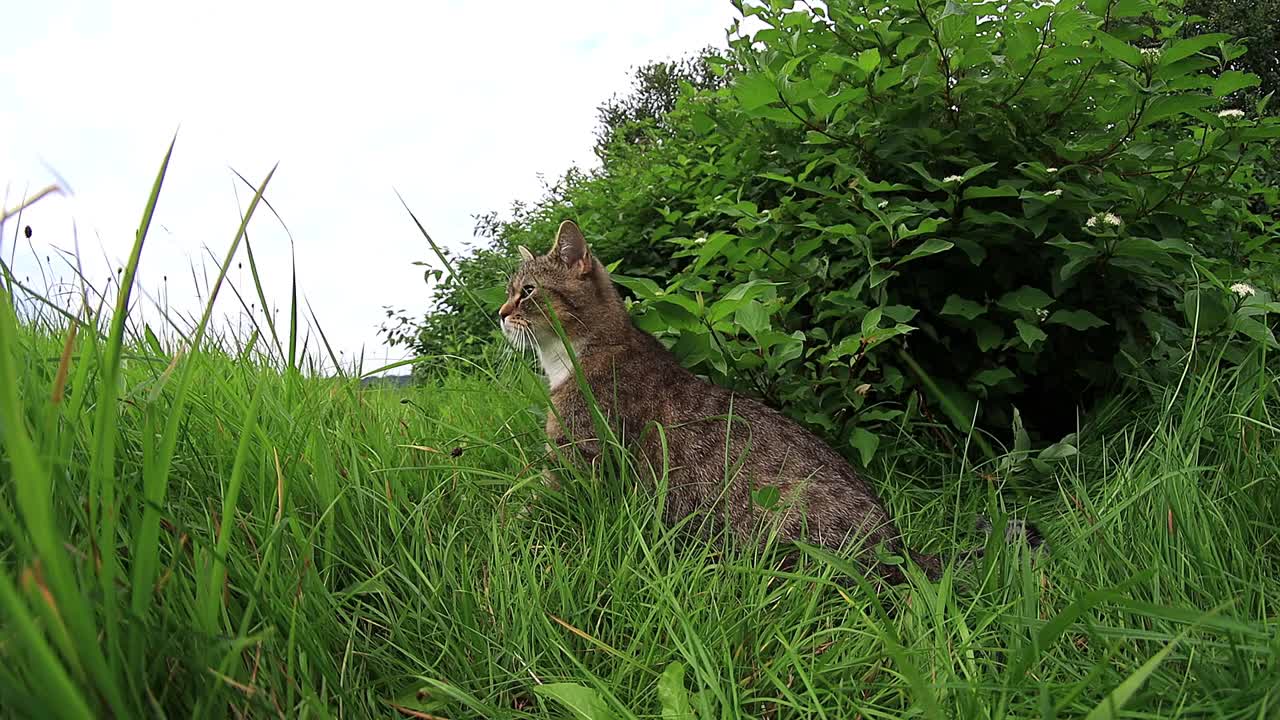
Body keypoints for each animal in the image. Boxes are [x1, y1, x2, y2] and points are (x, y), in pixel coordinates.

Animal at [494, 220, 1044, 584]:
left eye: (528, 291)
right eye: (510, 291)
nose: (499, 314)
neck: (579, 354)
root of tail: (900, 548)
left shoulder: (577, 458)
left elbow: (528, 507)